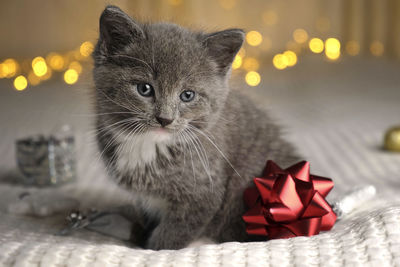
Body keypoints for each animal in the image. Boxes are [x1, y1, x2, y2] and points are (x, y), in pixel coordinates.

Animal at [93, 5, 300, 251]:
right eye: (144, 89)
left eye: (187, 95)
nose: (165, 119)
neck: (149, 145)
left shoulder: (203, 194)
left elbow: (172, 234)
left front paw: (153, 247)